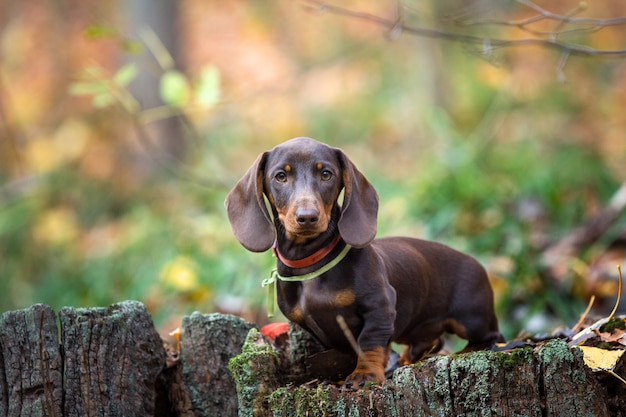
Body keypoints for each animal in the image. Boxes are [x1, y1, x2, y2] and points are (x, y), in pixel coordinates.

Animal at [224, 137, 502, 386]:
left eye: (326, 174)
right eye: (280, 176)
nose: (307, 217)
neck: (311, 263)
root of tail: (477, 263)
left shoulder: (380, 305)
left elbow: (369, 342)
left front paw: (364, 375)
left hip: (471, 318)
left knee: (493, 337)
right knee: (433, 340)